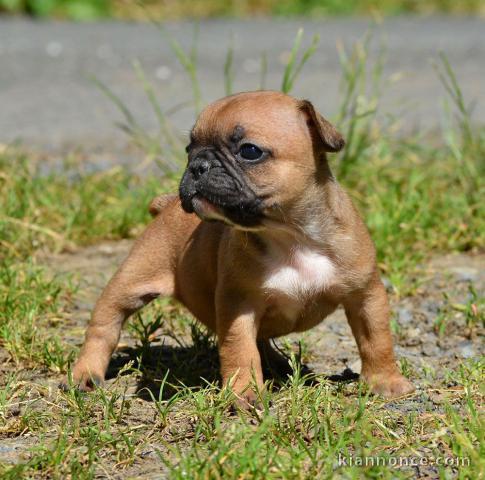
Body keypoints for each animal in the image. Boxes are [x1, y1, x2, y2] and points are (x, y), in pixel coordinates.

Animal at [70, 90, 414, 404]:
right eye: (189, 149)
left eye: (249, 151)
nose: (197, 165)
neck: (291, 235)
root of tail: (166, 207)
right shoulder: (239, 304)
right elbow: (239, 350)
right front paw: (245, 394)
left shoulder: (365, 295)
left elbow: (376, 339)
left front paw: (386, 382)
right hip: (131, 280)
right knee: (104, 326)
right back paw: (86, 374)